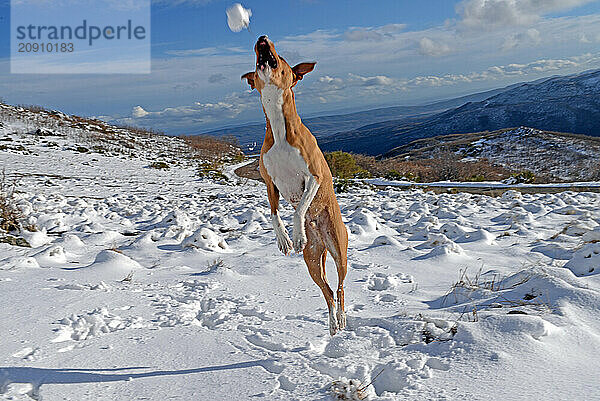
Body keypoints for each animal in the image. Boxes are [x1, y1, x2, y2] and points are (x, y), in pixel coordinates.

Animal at [241, 35, 350, 334]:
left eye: (282, 58)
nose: (262, 38)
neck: (279, 129)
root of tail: (321, 239)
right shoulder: (270, 181)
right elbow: (274, 213)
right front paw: (284, 239)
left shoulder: (314, 177)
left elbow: (300, 208)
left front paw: (298, 233)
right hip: (312, 261)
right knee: (326, 291)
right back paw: (332, 322)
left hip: (339, 251)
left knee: (340, 287)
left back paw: (342, 317)